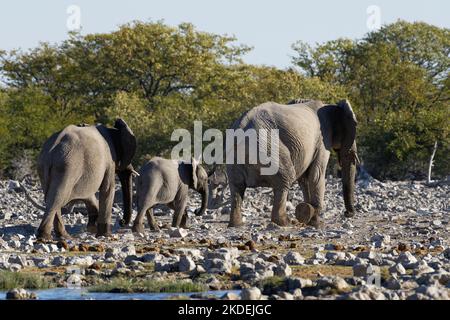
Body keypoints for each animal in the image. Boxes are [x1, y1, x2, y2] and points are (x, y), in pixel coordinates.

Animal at [227, 99, 360, 229]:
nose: (347, 213)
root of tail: (243, 126)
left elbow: (304, 179)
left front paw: (309, 218)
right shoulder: (323, 139)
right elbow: (316, 175)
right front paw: (317, 224)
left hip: (234, 157)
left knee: (237, 187)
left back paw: (237, 225)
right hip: (269, 147)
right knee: (285, 178)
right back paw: (286, 222)